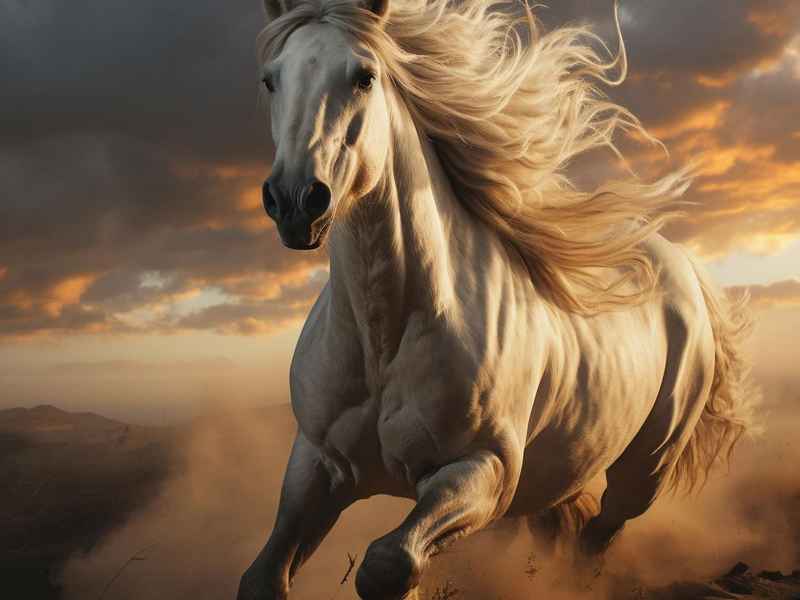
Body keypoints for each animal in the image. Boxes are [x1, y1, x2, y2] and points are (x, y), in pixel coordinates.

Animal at [237, 1, 757, 598]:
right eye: (270, 79)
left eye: (364, 76)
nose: (296, 201)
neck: (388, 334)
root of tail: (683, 269)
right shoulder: (317, 464)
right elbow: (265, 577)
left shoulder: (485, 471)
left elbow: (390, 563)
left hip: (642, 472)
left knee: (596, 536)